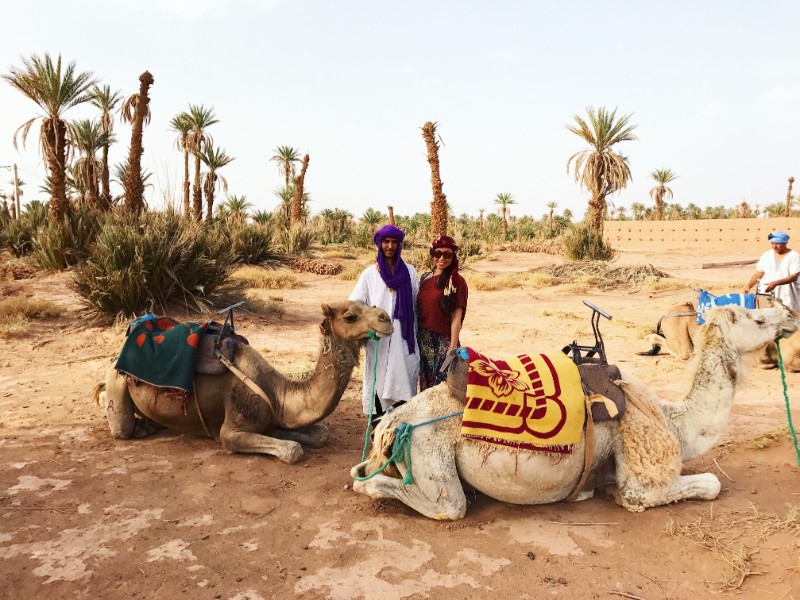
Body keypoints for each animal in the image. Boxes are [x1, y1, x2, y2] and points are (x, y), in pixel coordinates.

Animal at [96, 300, 393, 463]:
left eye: (367, 305)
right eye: (350, 316)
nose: (386, 317)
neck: (278, 392)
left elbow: (319, 434)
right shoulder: (231, 430)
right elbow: (293, 450)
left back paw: (149, 425)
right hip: (116, 380)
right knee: (120, 425)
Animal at [351, 305, 797, 520]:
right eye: (757, 317)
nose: (790, 315)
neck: (674, 420)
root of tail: (392, 423)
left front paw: (590, 490)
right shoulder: (640, 474)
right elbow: (708, 484)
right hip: (429, 450)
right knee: (430, 502)